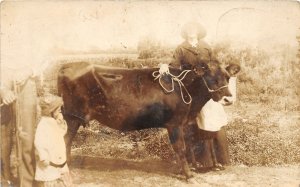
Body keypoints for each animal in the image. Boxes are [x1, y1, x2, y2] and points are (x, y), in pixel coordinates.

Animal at [58, 60, 241, 180]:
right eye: (211, 77)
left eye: (227, 77)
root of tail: (68, 65)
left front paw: (185, 171)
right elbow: (180, 148)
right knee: (65, 141)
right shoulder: (174, 124)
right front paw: (188, 175)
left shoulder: (184, 122)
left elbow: (187, 146)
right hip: (72, 116)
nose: (228, 99)